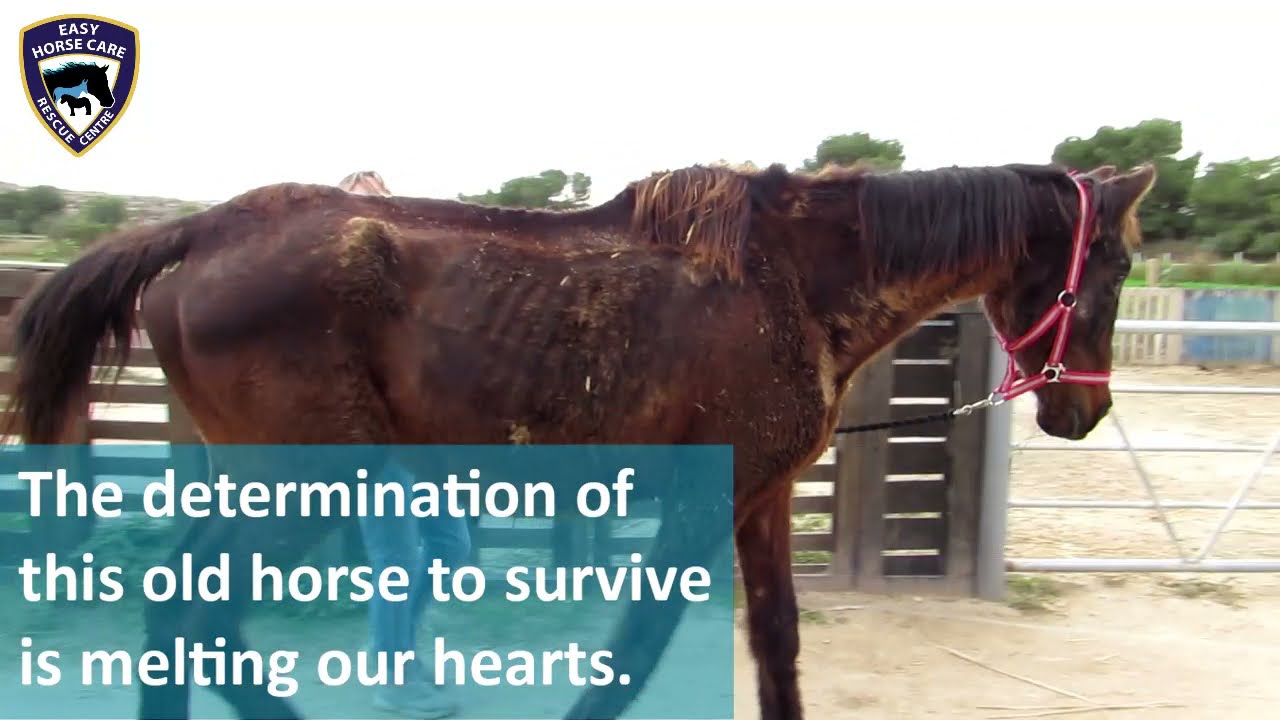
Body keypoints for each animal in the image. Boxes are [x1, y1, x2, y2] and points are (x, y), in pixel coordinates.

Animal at [1, 159, 1155, 720]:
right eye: (1115, 266)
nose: (1083, 408)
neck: (788, 279)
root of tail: (198, 233)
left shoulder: (760, 499)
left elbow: (777, 647)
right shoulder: (696, 505)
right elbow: (632, 654)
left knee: (185, 606)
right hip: (307, 480)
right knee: (186, 605)